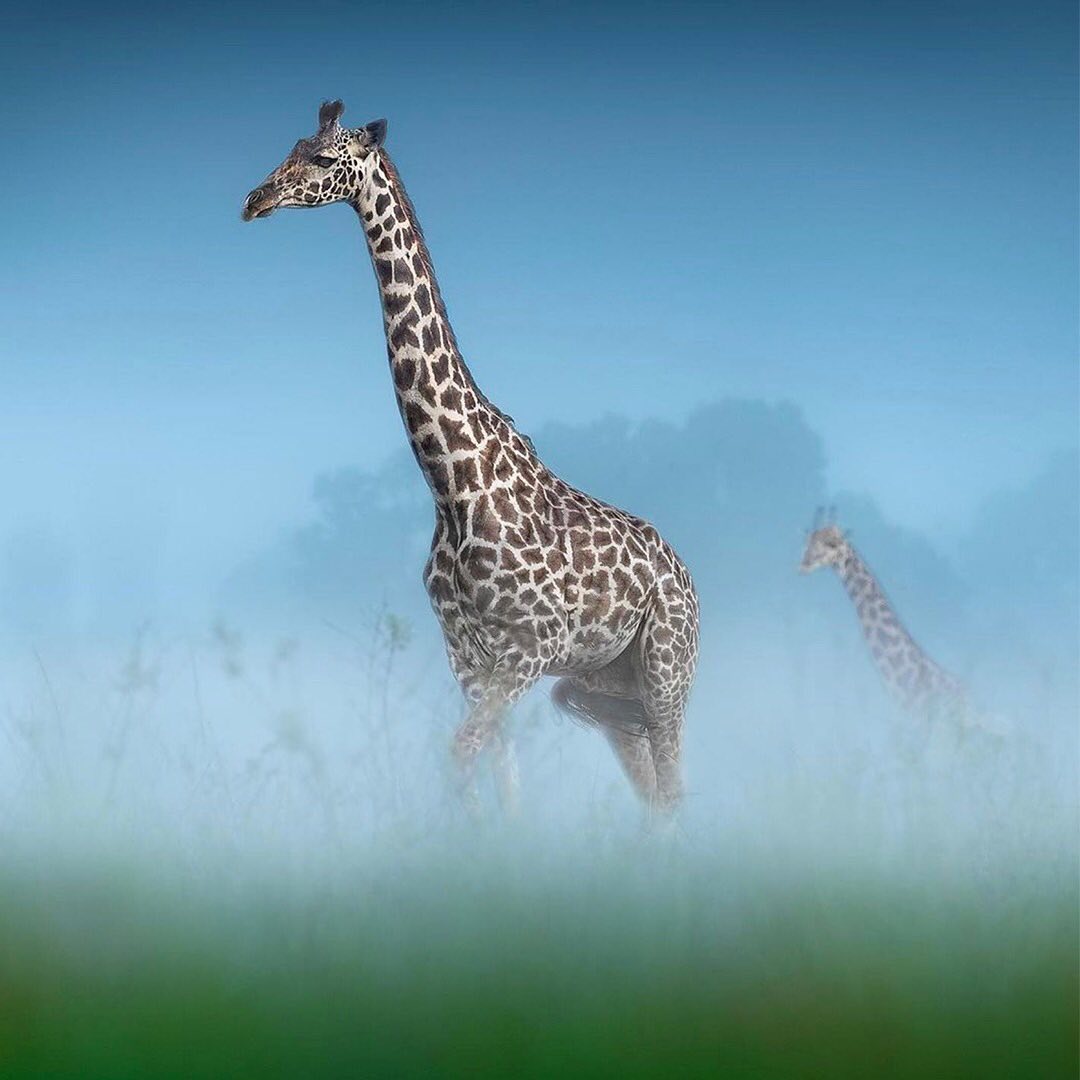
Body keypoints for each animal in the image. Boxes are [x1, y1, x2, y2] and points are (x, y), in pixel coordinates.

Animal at [242, 101, 699, 815]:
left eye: (321, 158)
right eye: (289, 146)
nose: (255, 199)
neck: (451, 479)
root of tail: (688, 580)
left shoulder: (529, 649)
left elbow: (458, 762)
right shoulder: (470, 658)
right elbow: (498, 786)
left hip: (665, 675)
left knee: (674, 793)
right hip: (615, 685)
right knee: (653, 796)